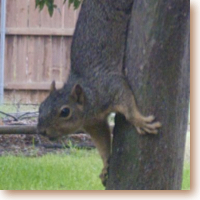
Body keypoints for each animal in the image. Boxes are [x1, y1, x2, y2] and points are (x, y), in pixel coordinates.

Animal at [38, 0, 162, 187]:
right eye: (40, 106)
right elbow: (102, 142)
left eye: (65, 112)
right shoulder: (94, 123)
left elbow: (127, 103)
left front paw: (140, 121)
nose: (41, 131)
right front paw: (105, 166)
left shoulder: (111, 86)